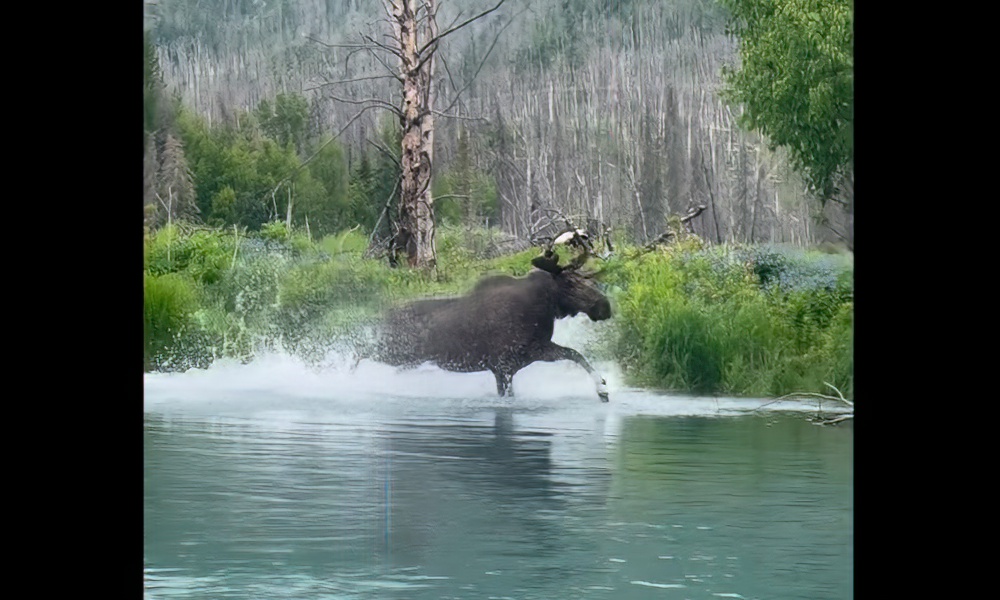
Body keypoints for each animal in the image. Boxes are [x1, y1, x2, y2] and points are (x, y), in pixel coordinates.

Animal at [372, 232, 612, 400]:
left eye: (587, 278)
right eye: (569, 283)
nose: (605, 306)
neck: (544, 308)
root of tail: (384, 318)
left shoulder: (532, 353)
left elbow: (575, 354)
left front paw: (602, 389)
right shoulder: (503, 366)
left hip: (404, 360)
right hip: (393, 353)